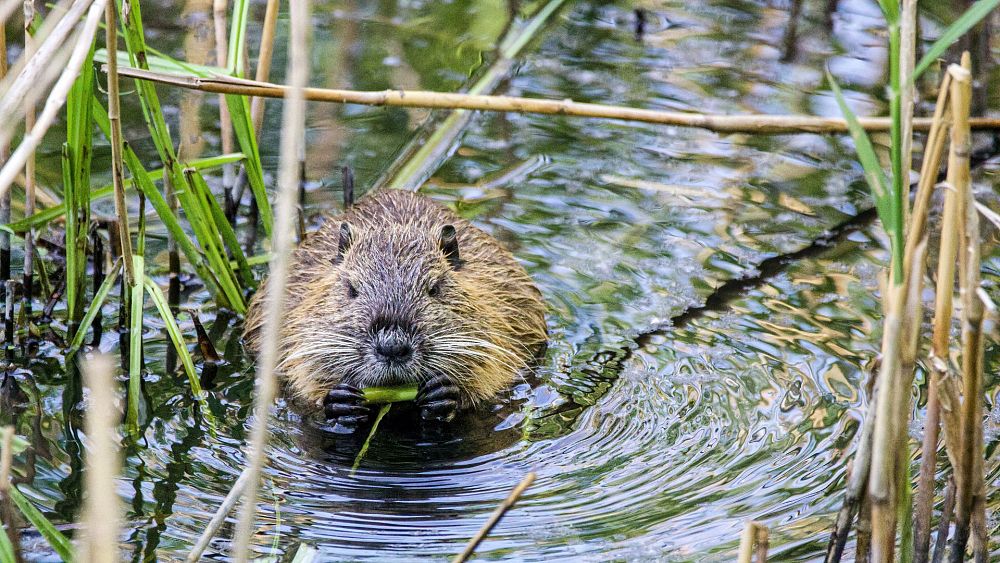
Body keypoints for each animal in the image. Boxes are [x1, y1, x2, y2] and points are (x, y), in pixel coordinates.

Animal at [243, 189, 552, 428]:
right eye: (351, 288)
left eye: (434, 288)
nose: (392, 347)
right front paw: (340, 400)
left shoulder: (501, 307)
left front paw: (444, 393)